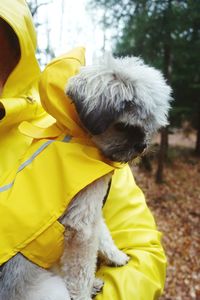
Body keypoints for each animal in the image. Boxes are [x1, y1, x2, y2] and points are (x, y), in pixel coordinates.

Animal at [0, 54, 172, 300]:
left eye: (149, 125)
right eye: (124, 126)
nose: (142, 146)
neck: (79, 138)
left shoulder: (92, 211)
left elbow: (104, 236)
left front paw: (117, 256)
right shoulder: (81, 226)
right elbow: (81, 272)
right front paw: (84, 291)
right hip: (53, 290)